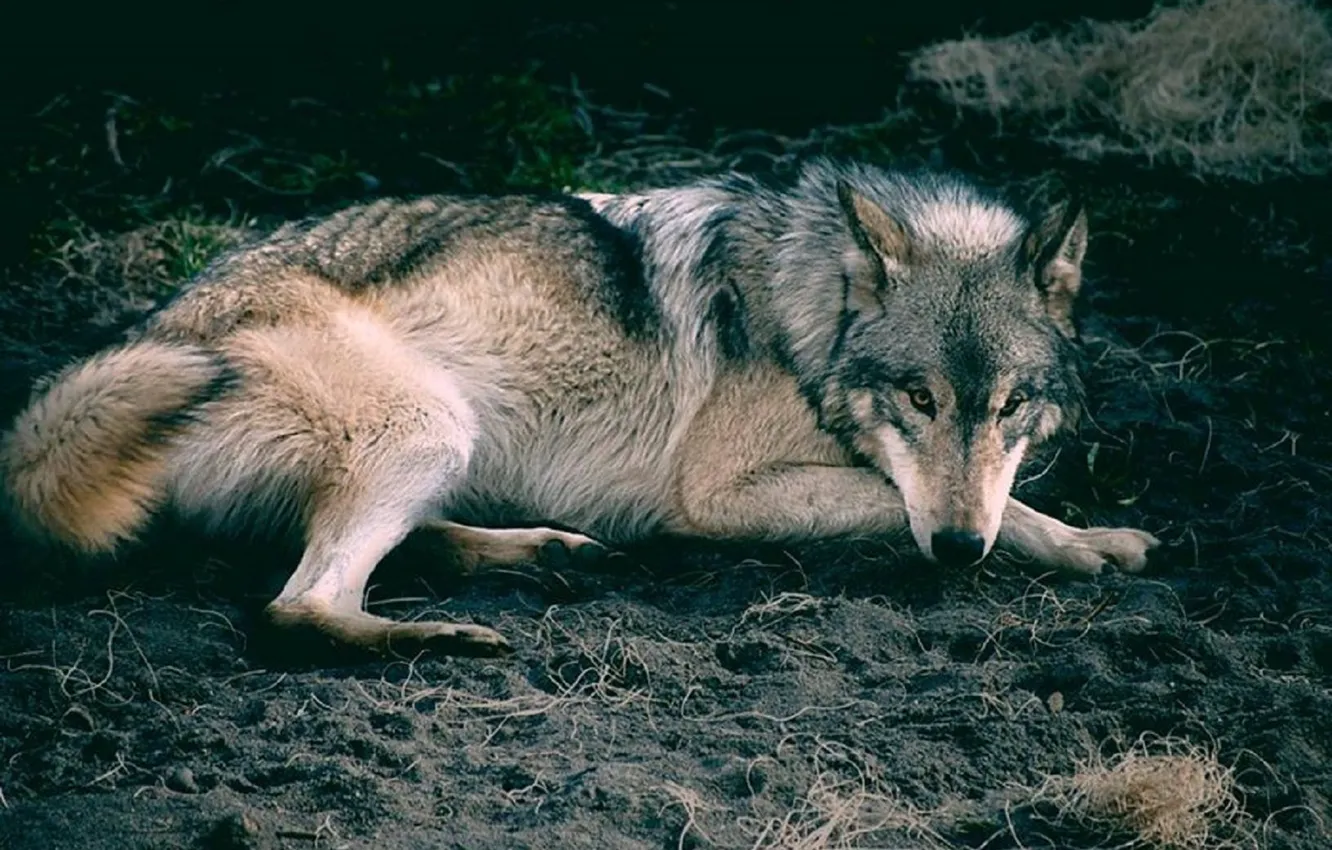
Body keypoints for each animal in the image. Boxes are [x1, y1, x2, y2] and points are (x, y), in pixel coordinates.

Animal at [1, 158, 1159, 657]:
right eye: (919, 397)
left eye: (1010, 404)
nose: (957, 552)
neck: (806, 310)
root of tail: (151, 332)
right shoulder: (718, 498)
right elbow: (940, 505)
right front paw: (1083, 545)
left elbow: (993, 499)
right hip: (431, 422)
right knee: (300, 606)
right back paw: (444, 637)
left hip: (439, 442)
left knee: (388, 548)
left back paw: (544, 555)